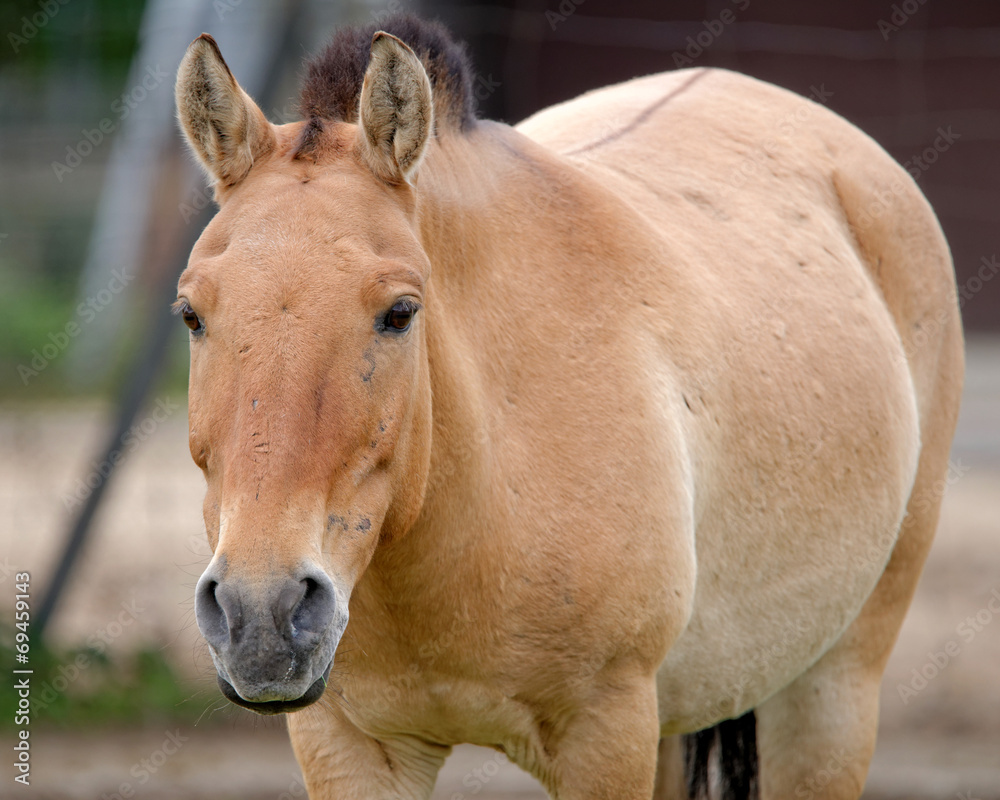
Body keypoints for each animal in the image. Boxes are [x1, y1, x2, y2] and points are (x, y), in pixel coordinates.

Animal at [173, 14, 963, 799]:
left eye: (399, 313)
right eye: (191, 315)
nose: (261, 613)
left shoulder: (604, 736)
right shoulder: (350, 745)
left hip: (831, 695)